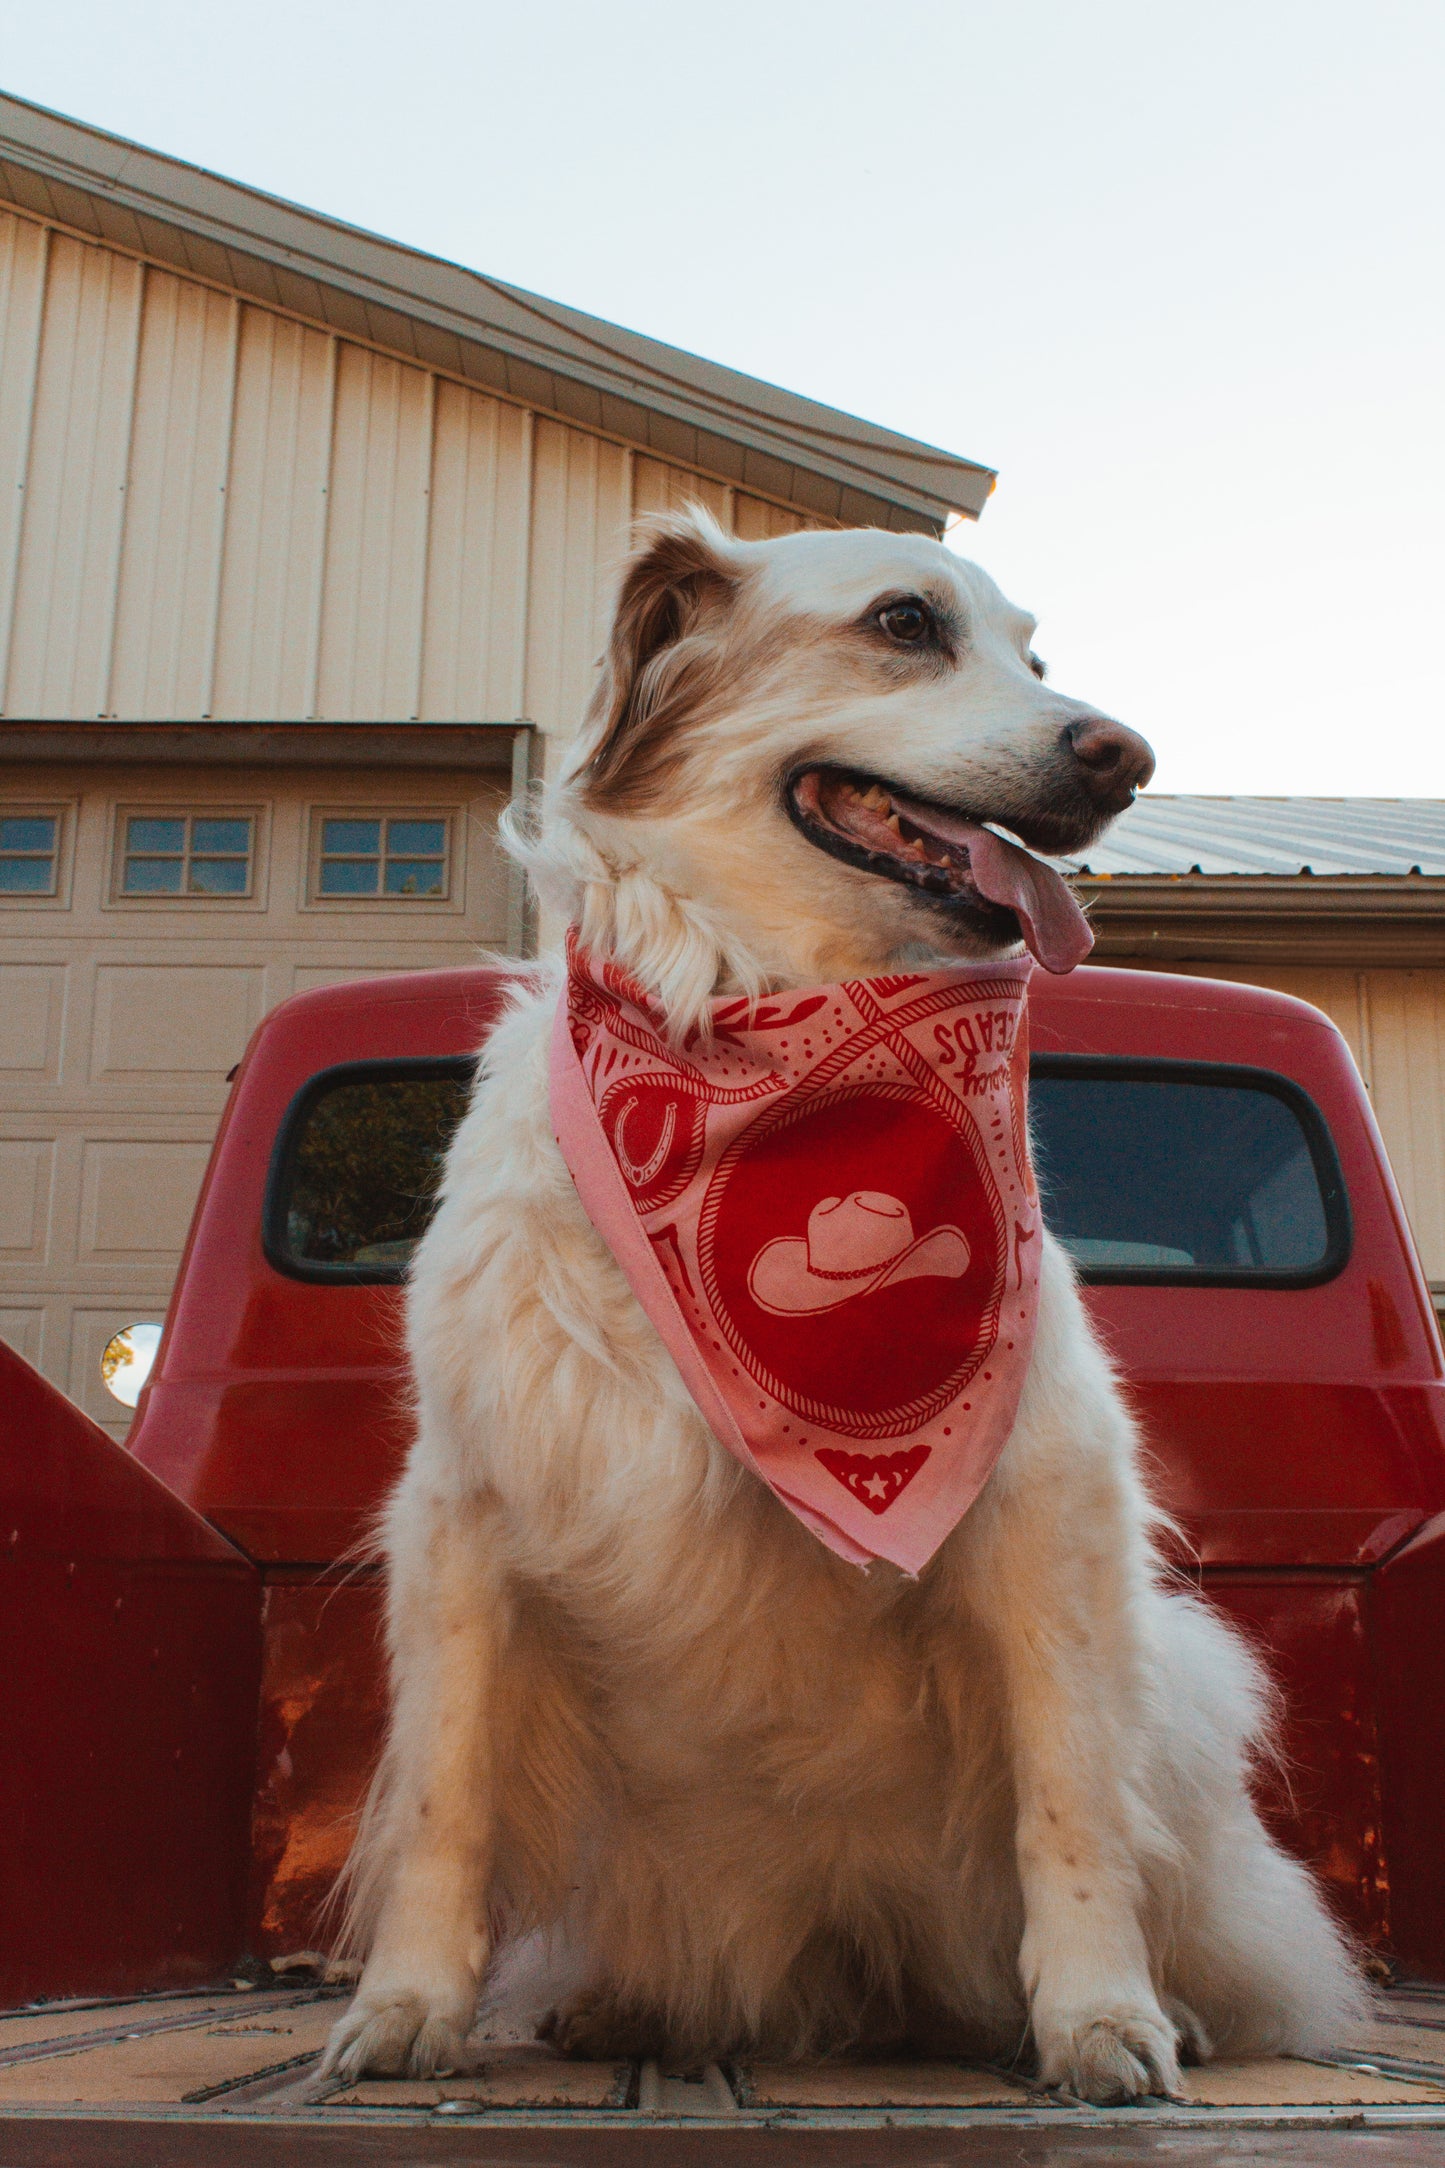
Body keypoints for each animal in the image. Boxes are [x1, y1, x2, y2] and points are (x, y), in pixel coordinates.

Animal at [327, 507, 1369, 2098]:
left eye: (1035, 658)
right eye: (903, 623)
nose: (1124, 755)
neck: (770, 1037)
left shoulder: (1050, 1506)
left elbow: (1070, 1805)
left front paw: (1099, 2016)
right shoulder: (462, 1510)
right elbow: (449, 1796)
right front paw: (405, 2005)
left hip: (1187, 1676)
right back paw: (631, 2007)